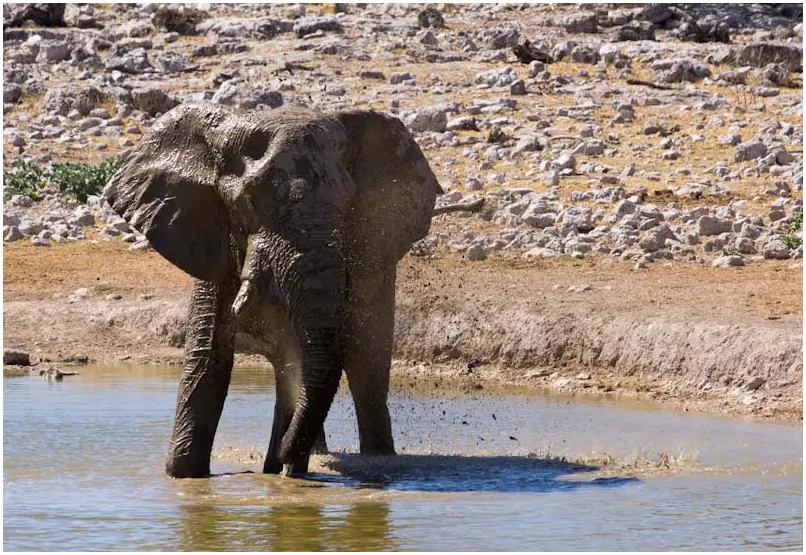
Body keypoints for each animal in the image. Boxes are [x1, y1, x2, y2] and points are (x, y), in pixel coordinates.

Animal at [103, 103, 442, 478]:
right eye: (248, 203)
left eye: (347, 205)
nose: (279, 464)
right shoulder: (209, 232)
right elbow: (208, 355)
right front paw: (184, 475)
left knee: (366, 358)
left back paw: (374, 458)